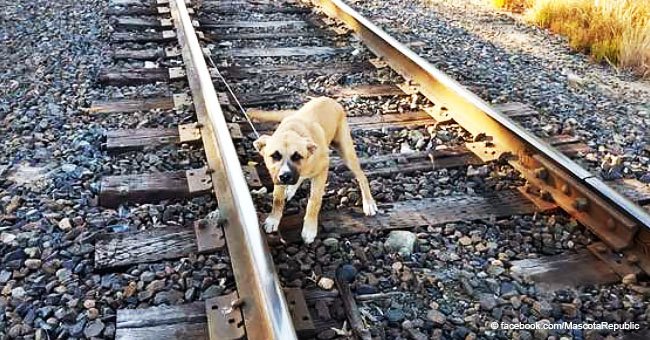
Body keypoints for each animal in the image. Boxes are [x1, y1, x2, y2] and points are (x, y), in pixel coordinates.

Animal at [252, 97, 378, 243]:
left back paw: (368, 203)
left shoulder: (322, 170)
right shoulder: (277, 176)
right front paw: (273, 219)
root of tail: (329, 99)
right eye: (275, 156)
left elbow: (314, 201)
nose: (285, 177)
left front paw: (309, 229)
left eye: (297, 156)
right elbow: (277, 199)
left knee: (361, 176)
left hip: (346, 151)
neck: (293, 130)